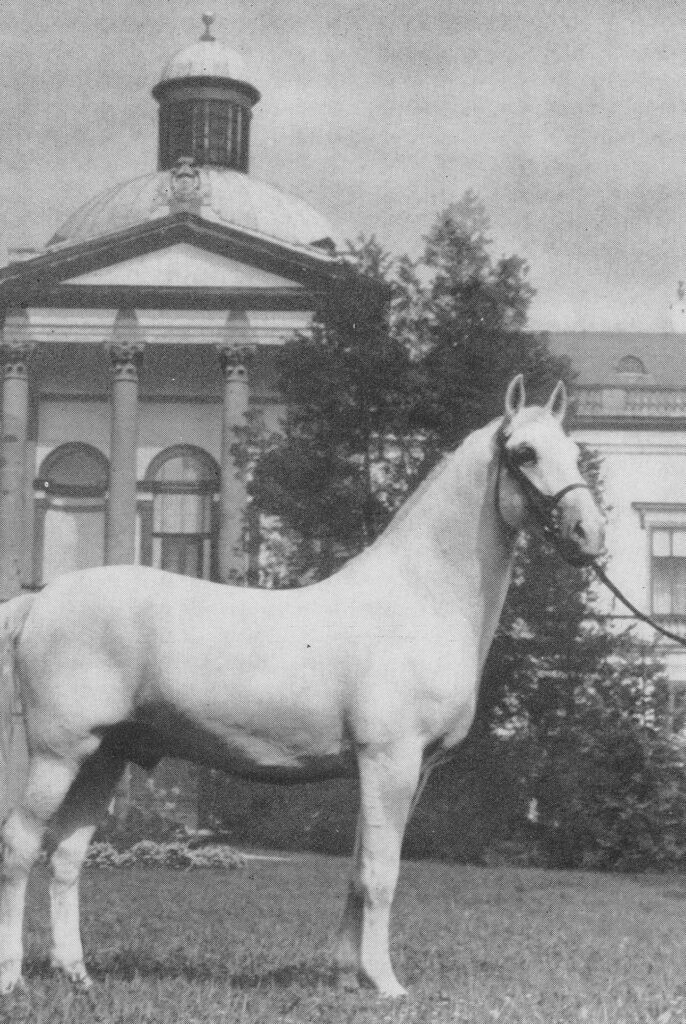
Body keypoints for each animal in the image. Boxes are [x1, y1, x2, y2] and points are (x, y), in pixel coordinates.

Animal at [0, 374, 602, 991]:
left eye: (575, 451)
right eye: (524, 453)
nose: (590, 534)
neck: (417, 599)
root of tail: (39, 601)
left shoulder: (396, 769)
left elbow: (360, 870)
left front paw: (347, 976)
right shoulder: (390, 760)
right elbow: (382, 872)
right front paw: (386, 983)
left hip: (104, 755)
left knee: (66, 855)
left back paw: (76, 973)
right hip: (58, 754)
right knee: (20, 846)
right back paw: (13, 976)